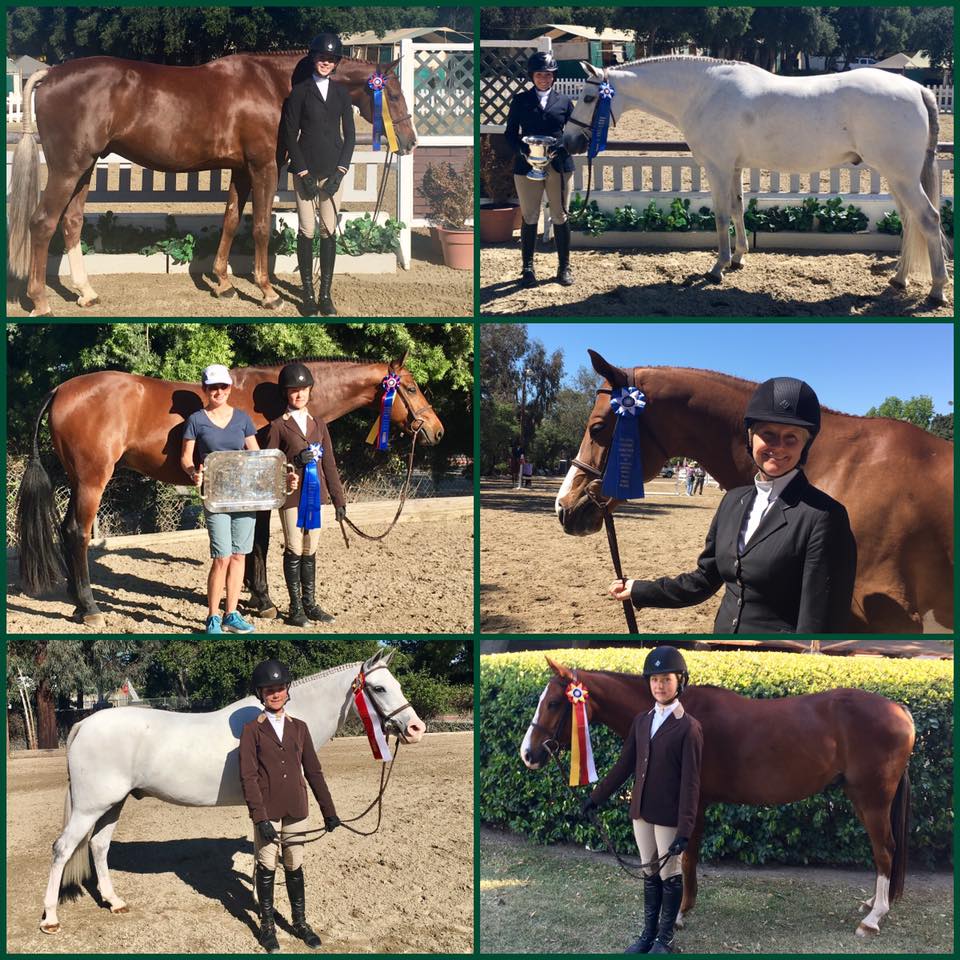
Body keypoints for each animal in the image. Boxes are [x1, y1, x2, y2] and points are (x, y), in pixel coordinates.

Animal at [7, 52, 417, 316]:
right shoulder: (264, 167)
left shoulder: (241, 170)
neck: (273, 85)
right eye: (393, 94)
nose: (410, 142)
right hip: (68, 168)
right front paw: (267, 292)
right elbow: (261, 227)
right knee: (42, 223)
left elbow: (232, 220)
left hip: (86, 167)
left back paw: (86, 293)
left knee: (71, 222)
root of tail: (50, 75)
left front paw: (222, 282)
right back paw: (40, 300)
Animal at [15, 355, 444, 628]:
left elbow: (255, 544)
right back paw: (89, 608)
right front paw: (266, 602)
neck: (275, 399)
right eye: (410, 387)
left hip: (78, 480)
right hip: (92, 479)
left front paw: (254, 596)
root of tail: (62, 388)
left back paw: (76, 602)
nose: (437, 431)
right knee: (78, 533)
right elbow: (261, 544)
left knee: (67, 531)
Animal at [39, 648, 424, 934]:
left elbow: (260, 851)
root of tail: (85, 724)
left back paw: (114, 902)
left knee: (98, 847)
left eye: (395, 683)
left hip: (112, 804)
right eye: (379, 689)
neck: (277, 720)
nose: (415, 728)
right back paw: (51, 918)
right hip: (90, 807)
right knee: (63, 849)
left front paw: (256, 899)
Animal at [521, 658, 915, 938]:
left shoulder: (691, 804)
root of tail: (901, 710)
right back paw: (871, 903)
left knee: (885, 850)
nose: (528, 754)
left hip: (872, 800)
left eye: (553, 703)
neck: (676, 713)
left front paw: (679, 914)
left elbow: (685, 859)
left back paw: (873, 918)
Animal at [562, 57, 949, 304]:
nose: (571, 141)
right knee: (910, 222)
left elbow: (720, 216)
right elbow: (738, 208)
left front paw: (717, 269)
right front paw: (739, 258)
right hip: (895, 176)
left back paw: (936, 291)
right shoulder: (733, 167)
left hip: (901, 175)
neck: (703, 92)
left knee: (929, 220)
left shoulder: (717, 166)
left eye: (588, 97)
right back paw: (899, 279)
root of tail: (917, 90)